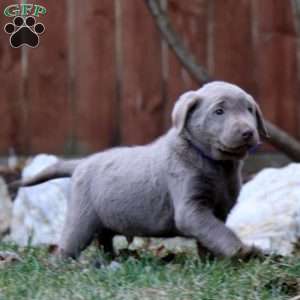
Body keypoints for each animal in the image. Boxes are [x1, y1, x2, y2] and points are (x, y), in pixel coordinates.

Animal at [17, 81, 268, 258]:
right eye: (219, 112)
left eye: (249, 109)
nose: (248, 132)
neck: (215, 164)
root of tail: (81, 162)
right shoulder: (191, 209)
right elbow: (217, 231)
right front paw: (241, 251)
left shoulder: (218, 210)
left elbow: (210, 234)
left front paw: (210, 262)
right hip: (81, 217)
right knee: (69, 245)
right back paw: (60, 266)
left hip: (103, 217)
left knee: (104, 239)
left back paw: (109, 260)